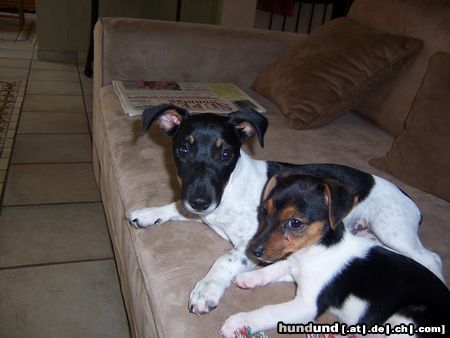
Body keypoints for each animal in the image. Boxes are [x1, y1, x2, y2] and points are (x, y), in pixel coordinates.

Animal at [126, 104, 442, 316]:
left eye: (226, 153)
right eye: (183, 150)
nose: (200, 201)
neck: (230, 188)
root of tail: (407, 197)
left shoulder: (253, 241)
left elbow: (224, 260)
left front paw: (207, 288)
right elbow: (176, 206)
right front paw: (149, 213)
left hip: (392, 231)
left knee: (431, 257)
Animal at [220, 174, 448, 338]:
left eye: (295, 223)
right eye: (263, 211)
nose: (253, 250)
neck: (312, 251)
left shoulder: (307, 305)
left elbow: (269, 311)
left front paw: (239, 322)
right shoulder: (295, 269)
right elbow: (275, 268)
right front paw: (249, 278)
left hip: (408, 317)